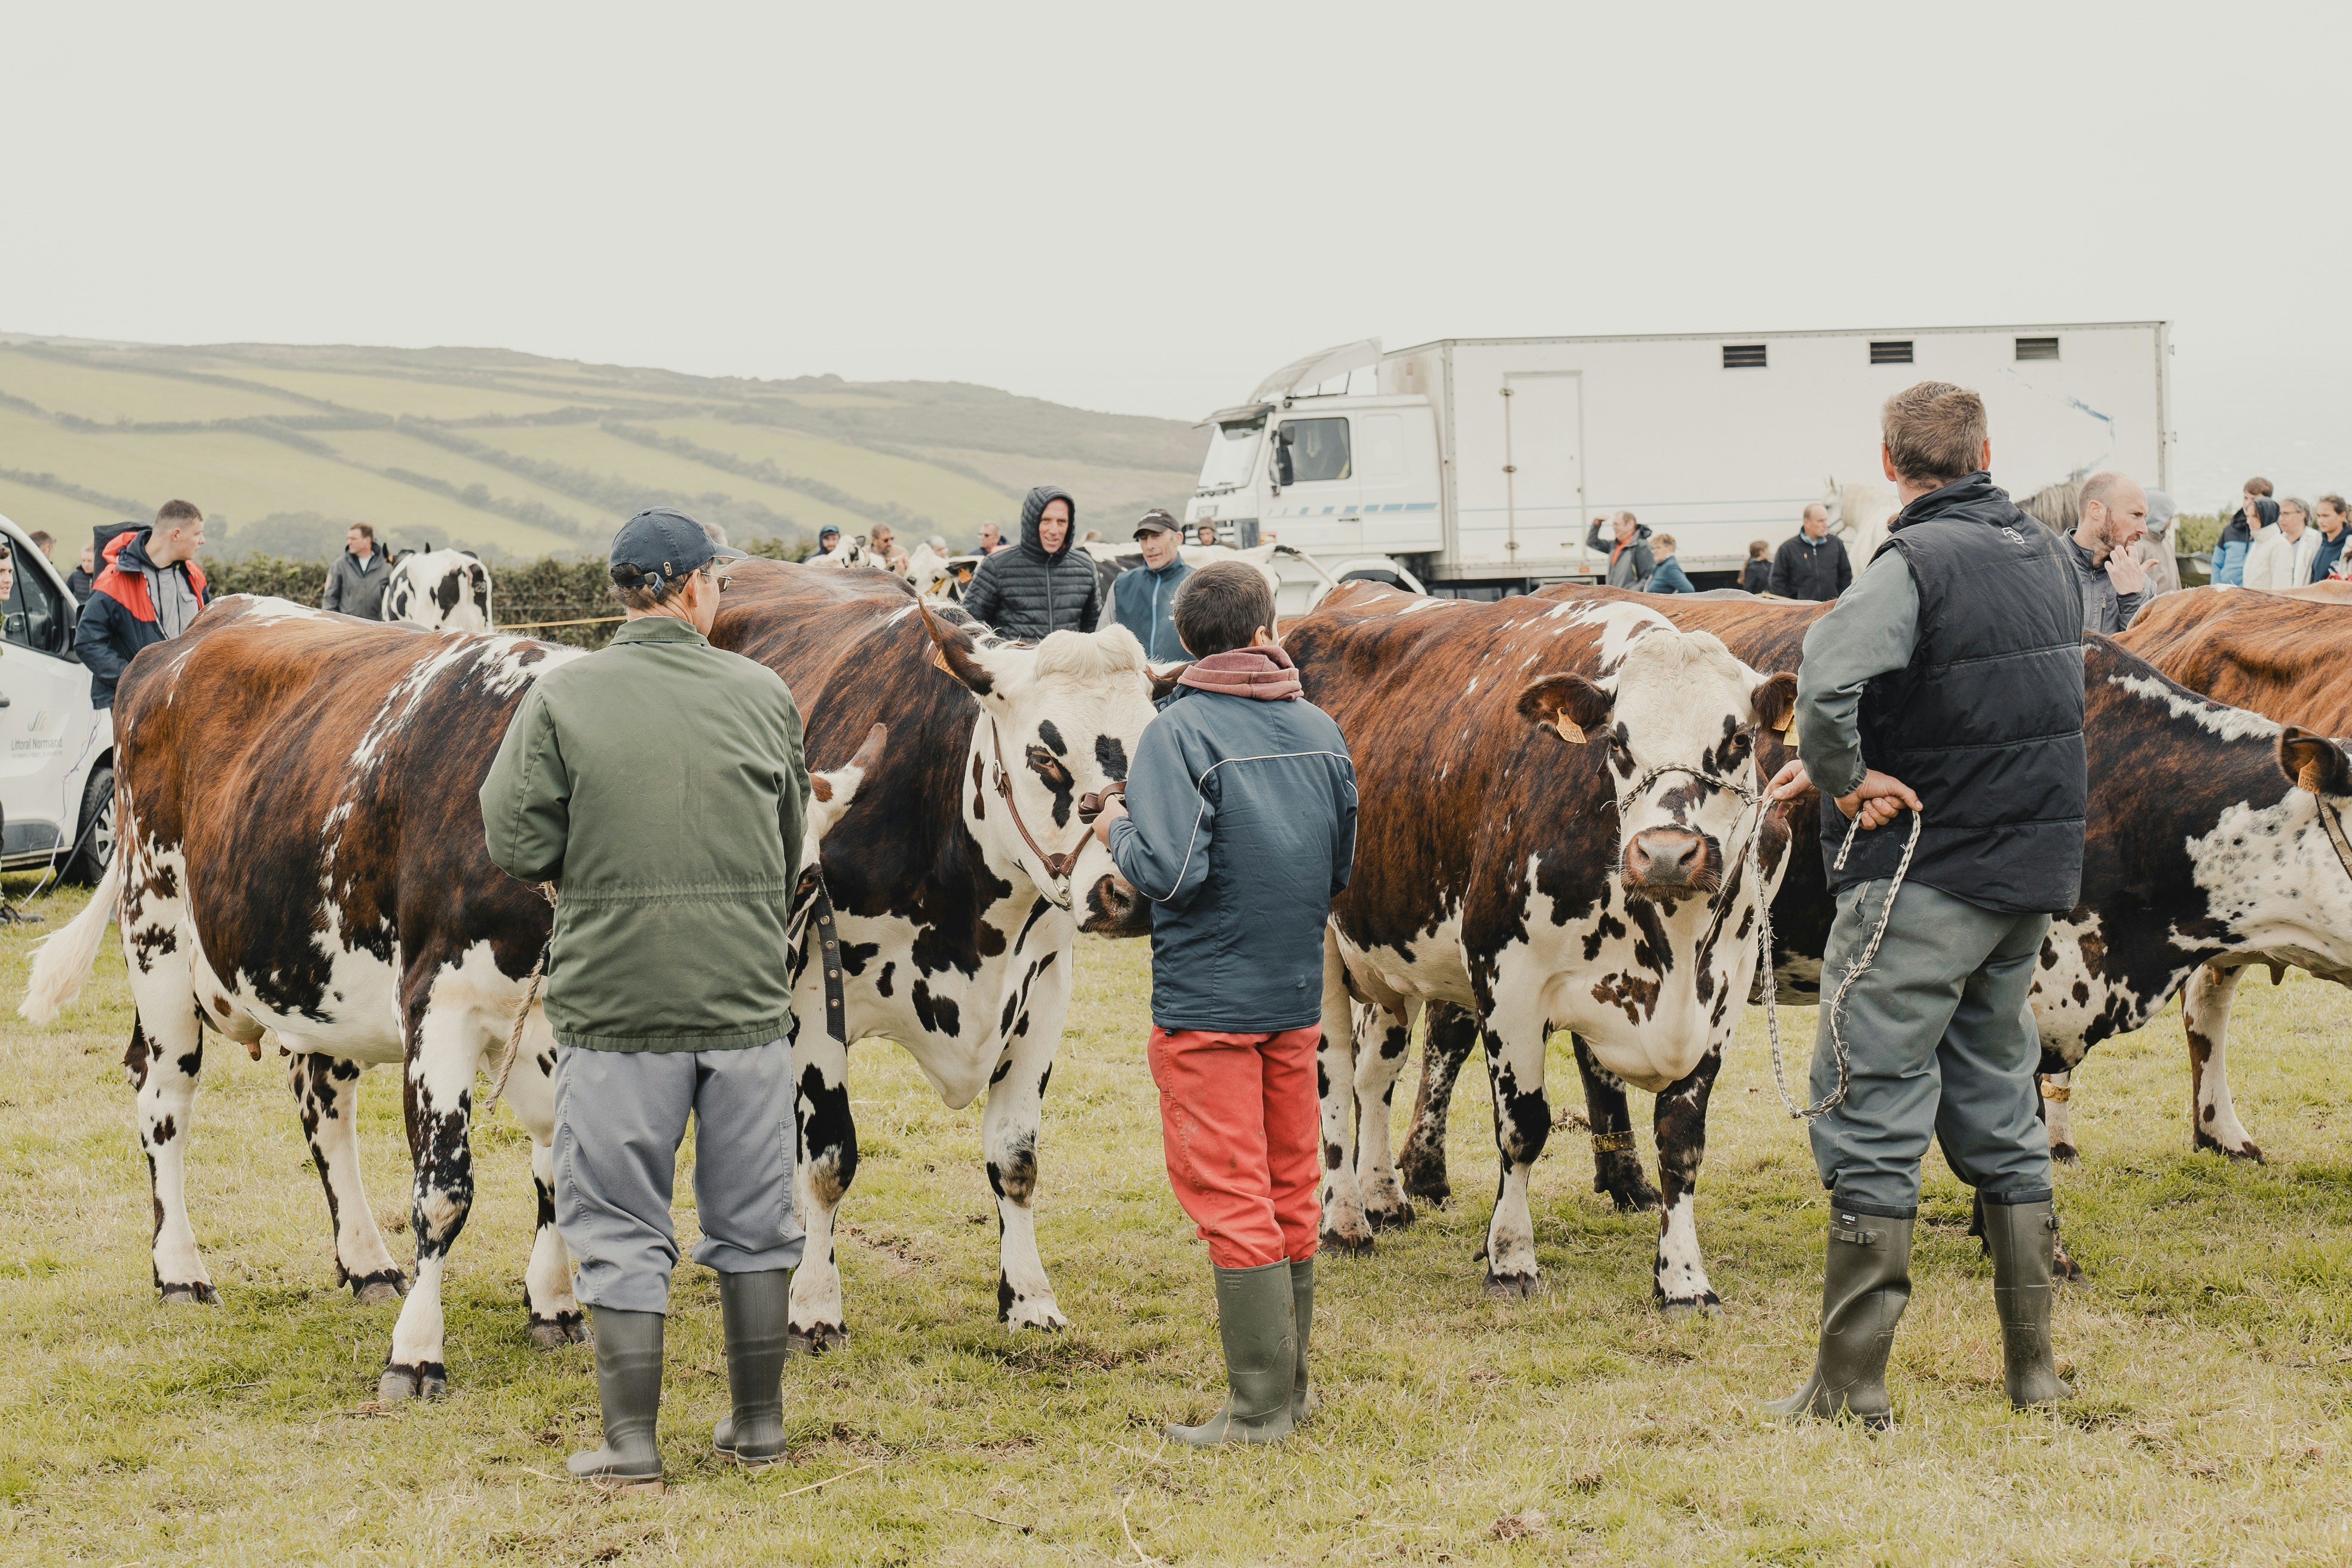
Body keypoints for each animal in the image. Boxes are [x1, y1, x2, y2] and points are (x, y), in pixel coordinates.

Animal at [18, 596, 881, 1398]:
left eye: (807, 882)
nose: (770, 1015)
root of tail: (196, 630)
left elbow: (561, 1166)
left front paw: (553, 1305)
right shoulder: (438, 1001)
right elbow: (443, 1190)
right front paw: (416, 1351)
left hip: (318, 977)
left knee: (320, 1100)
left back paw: (365, 1262)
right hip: (156, 933)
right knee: (164, 1101)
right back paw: (180, 1270)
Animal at [707, 561, 1162, 1351]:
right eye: (1043, 756)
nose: (1128, 892)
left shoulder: (1045, 987)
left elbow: (1016, 1157)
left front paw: (1028, 1295)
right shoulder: (812, 989)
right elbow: (828, 1157)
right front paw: (815, 1300)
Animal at [1281, 582, 1800, 1311]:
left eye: (1739, 739)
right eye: (1618, 743)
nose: (1667, 854)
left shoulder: (1722, 993)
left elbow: (1681, 1141)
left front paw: (1684, 1278)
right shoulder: (1508, 978)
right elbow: (1523, 1126)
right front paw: (1510, 1259)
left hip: (1388, 957)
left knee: (1374, 1076)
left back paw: (1385, 1196)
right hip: (1322, 950)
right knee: (1331, 1077)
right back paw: (1345, 1220)